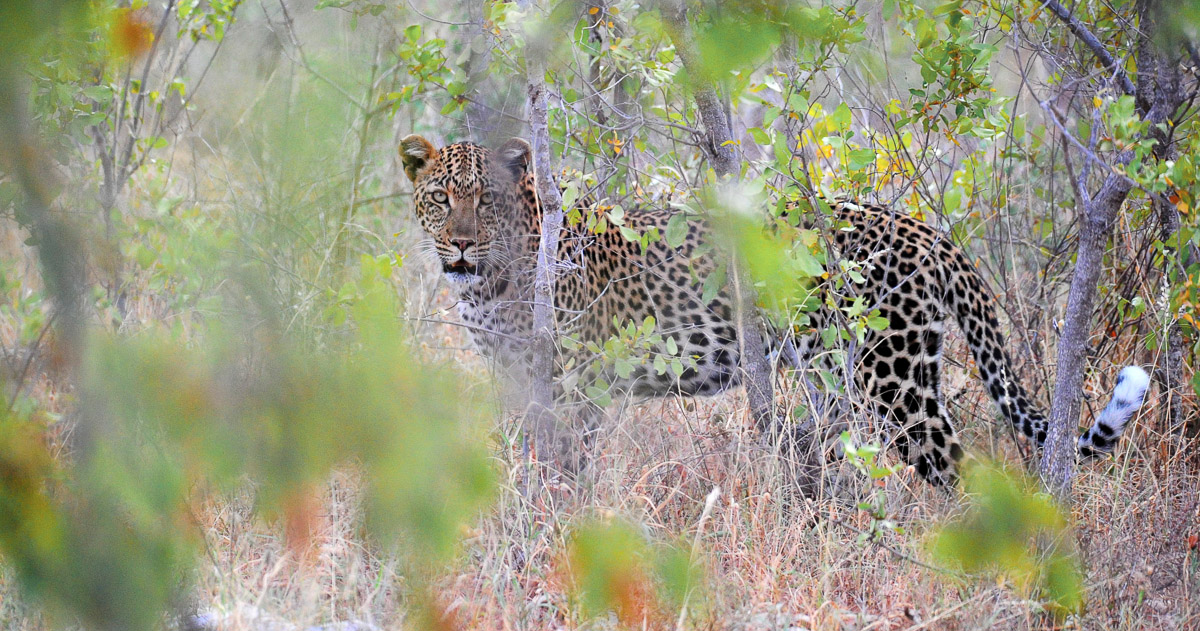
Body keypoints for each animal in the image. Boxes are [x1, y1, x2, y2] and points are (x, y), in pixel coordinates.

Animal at [398, 134, 1151, 485]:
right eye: (440, 197)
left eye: (485, 200)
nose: (460, 242)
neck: (488, 282)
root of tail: (924, 229)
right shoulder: (514, 377)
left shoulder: (574, 383)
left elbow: (560, 463)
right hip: (840, 372)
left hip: (897, 373)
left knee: (953, 465)